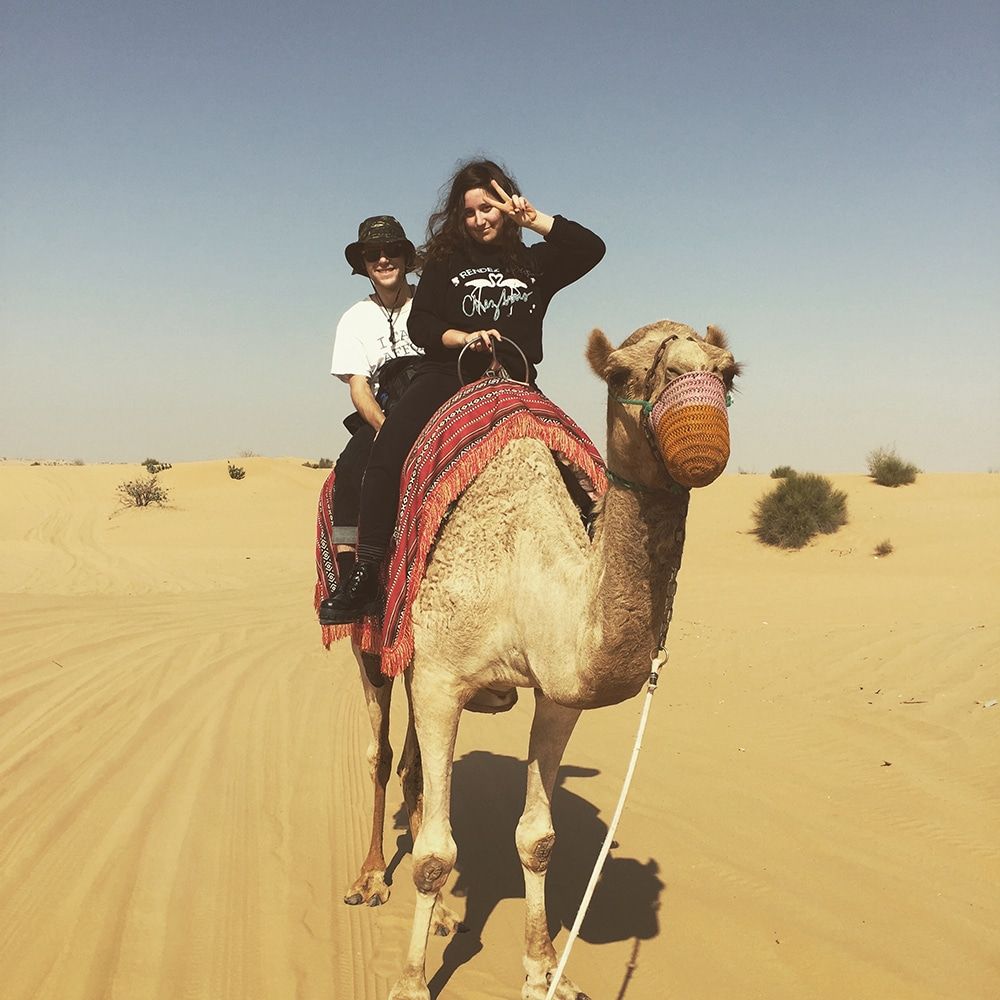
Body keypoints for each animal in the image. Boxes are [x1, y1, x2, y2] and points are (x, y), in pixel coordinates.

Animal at [341, 319, 740, 999]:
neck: (520, 564)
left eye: (729, 372)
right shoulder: (441, 679)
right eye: (620, 373)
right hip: (372, 649)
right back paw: (369, 878)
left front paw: (543, 969)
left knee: (415, 767)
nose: (703, 432)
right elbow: (434, 857)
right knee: (381, 753)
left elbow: (538, 839)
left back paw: (443, 916)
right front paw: (413, 982)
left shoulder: (556, 693)